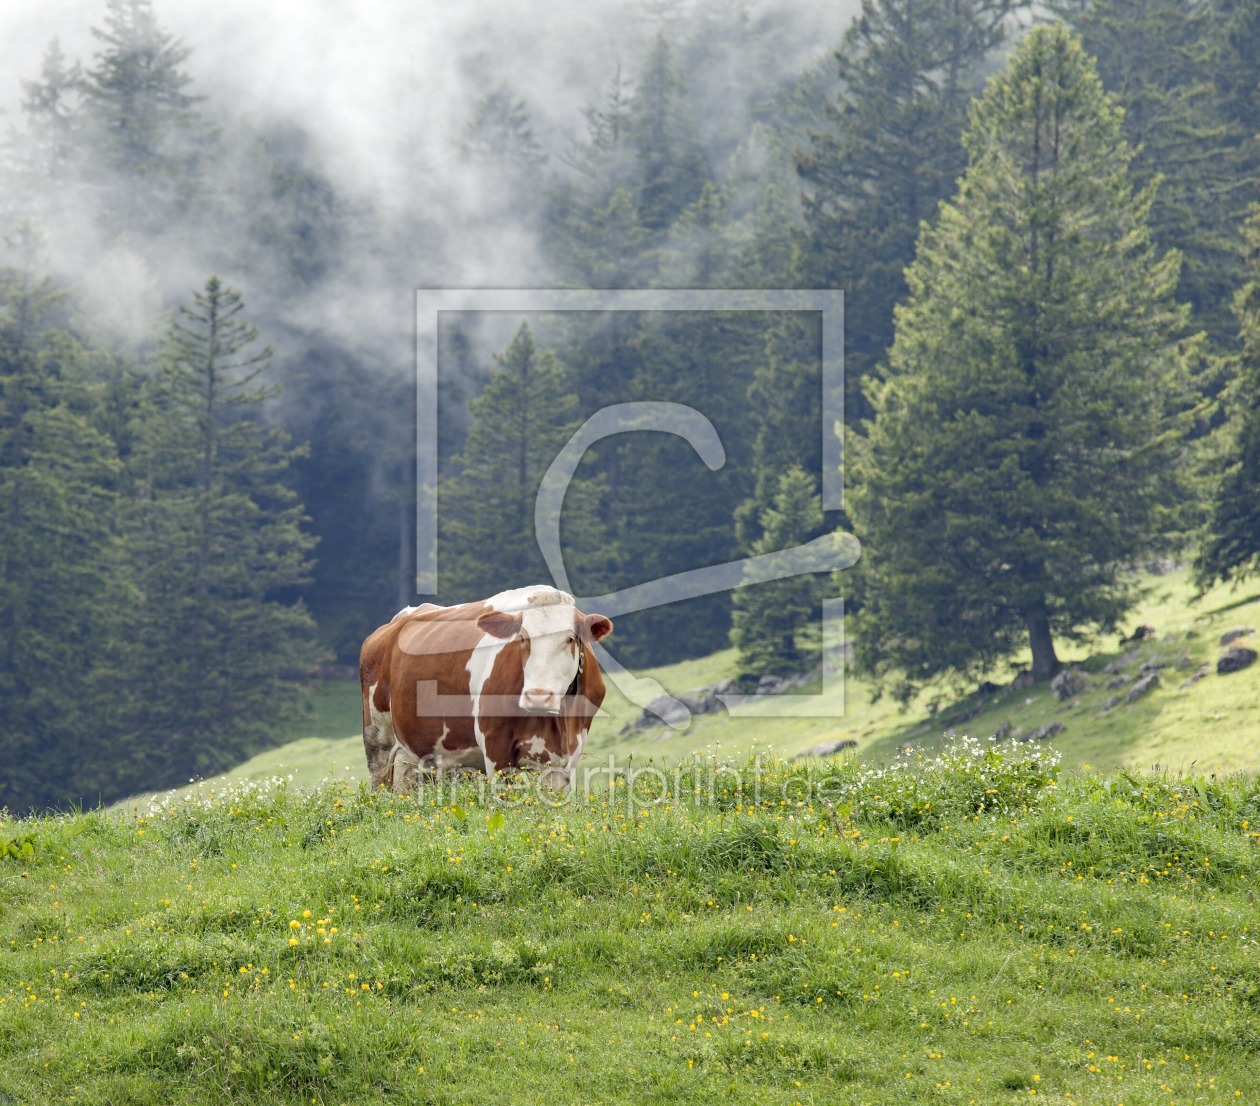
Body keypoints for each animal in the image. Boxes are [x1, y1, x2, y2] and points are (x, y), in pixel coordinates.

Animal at [357, 584, 612, 791]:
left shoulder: (568, 754)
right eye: (522, 638)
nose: (538, 697)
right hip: (378, 741)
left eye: (570, 638)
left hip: (413, 755)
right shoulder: (495, 745)